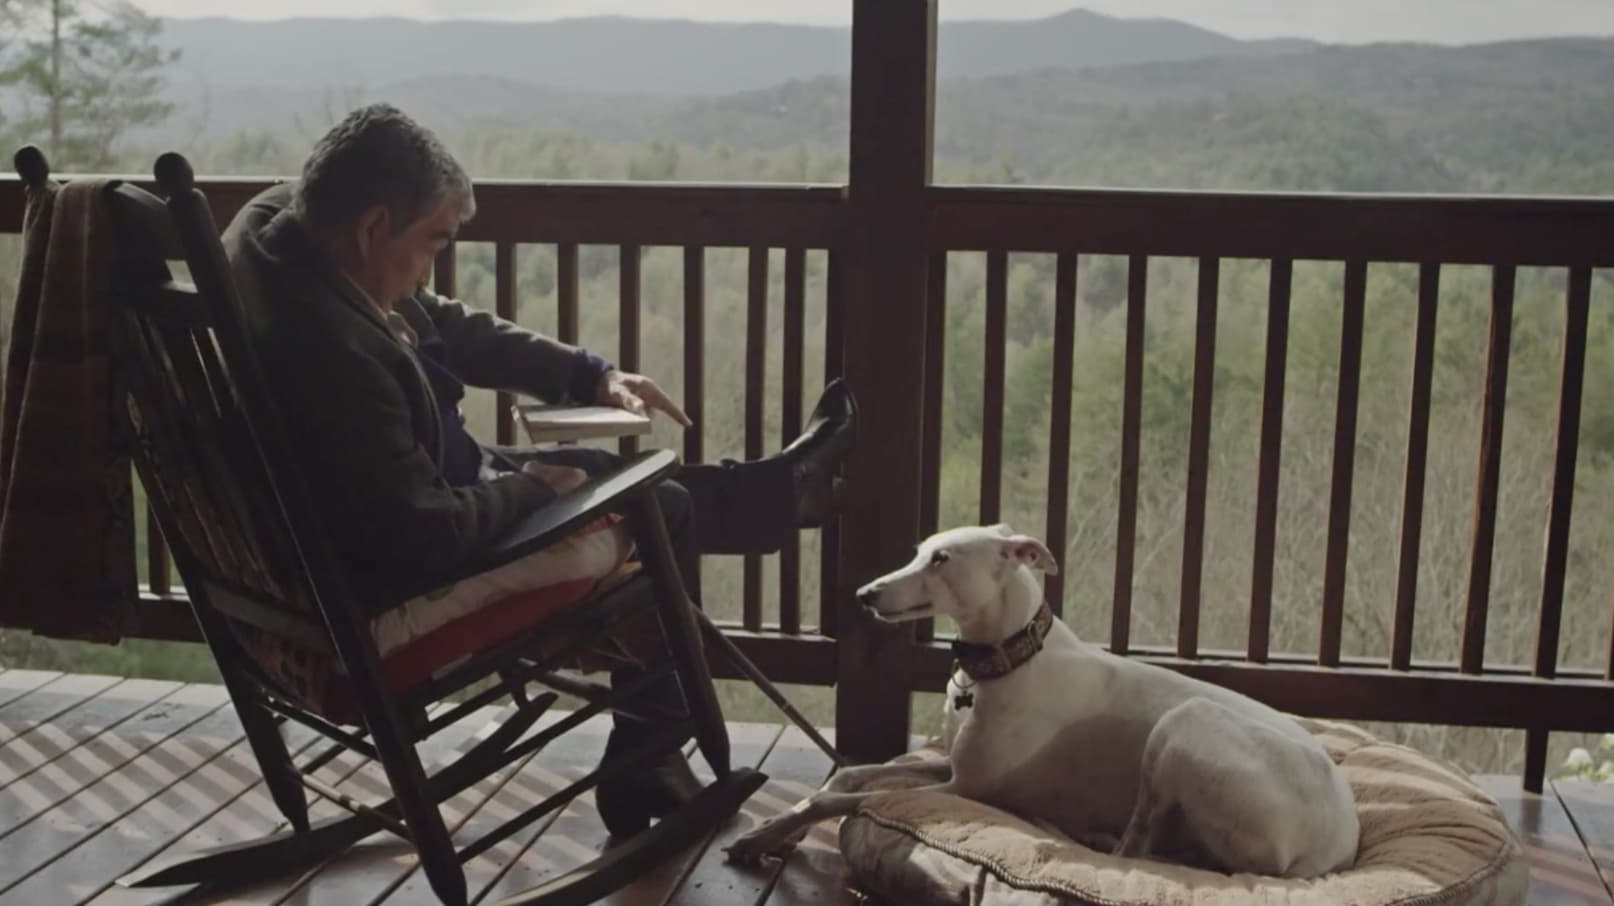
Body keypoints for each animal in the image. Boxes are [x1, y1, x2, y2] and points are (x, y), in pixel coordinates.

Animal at [726, 524, 1360, 878]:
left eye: (942, 559)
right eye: (919, 551)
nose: (864, 594)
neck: (1007, 660)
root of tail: (1337, 846)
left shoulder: (965, 788)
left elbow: (839, 799)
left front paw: (763, 834)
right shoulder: (950, 765)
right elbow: (849, 778)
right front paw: (782, 824)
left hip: (1186, 725)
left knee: (1136, 850)